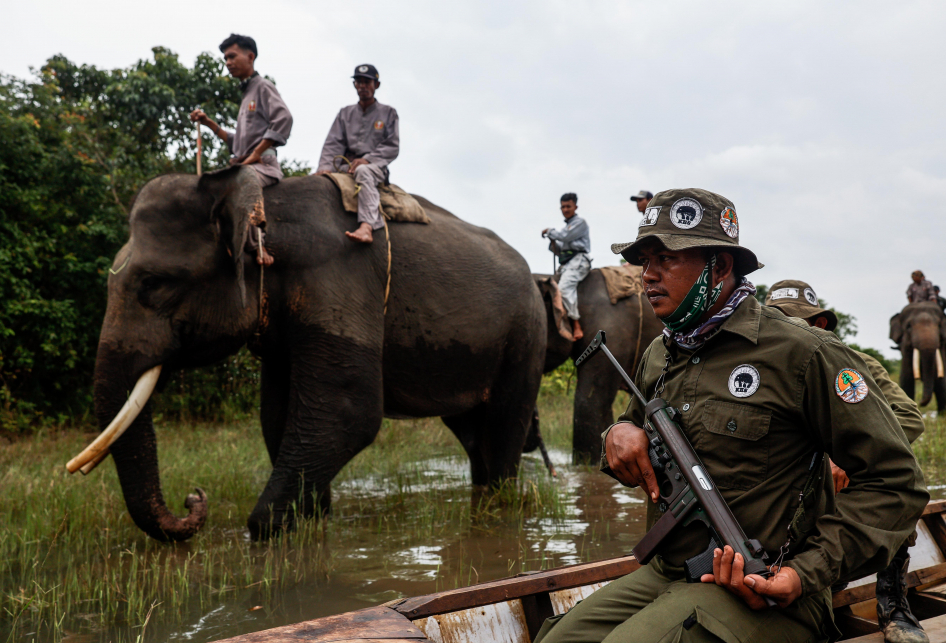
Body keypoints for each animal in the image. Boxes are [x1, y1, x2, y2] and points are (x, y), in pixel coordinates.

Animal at [75, 167, 544, 544]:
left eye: (153, 284)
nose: (193, 497)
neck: (262, 208)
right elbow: (276, 417)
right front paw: (315, 519)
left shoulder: (338, 280)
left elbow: (348, 412)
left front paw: (270, 528)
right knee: (471, 431)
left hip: (526, 336)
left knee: (504, 424)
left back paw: (500, 504)